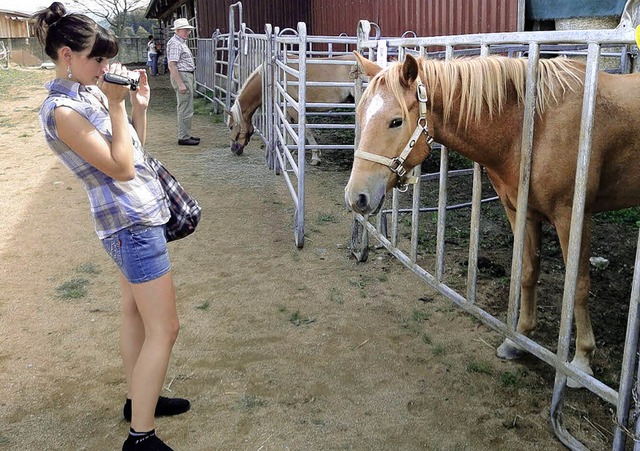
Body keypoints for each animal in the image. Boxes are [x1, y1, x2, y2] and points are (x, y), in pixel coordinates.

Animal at [226, 53, 358, 165]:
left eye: (231, 127)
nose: (233, 149)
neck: (273, 76)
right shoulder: (286, 109)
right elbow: (289, 129)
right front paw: (289, 151)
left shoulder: (293, 108)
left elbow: (307, 131)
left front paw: (315, 157)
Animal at [344, 52, 640, 384]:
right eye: (360, 114)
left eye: (395, 121)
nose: (356, 197)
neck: (534, 127)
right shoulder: (521, 211)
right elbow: (527, 272)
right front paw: (519, 338)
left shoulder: (572, 217)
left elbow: (578, 285)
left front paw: (581, 360)